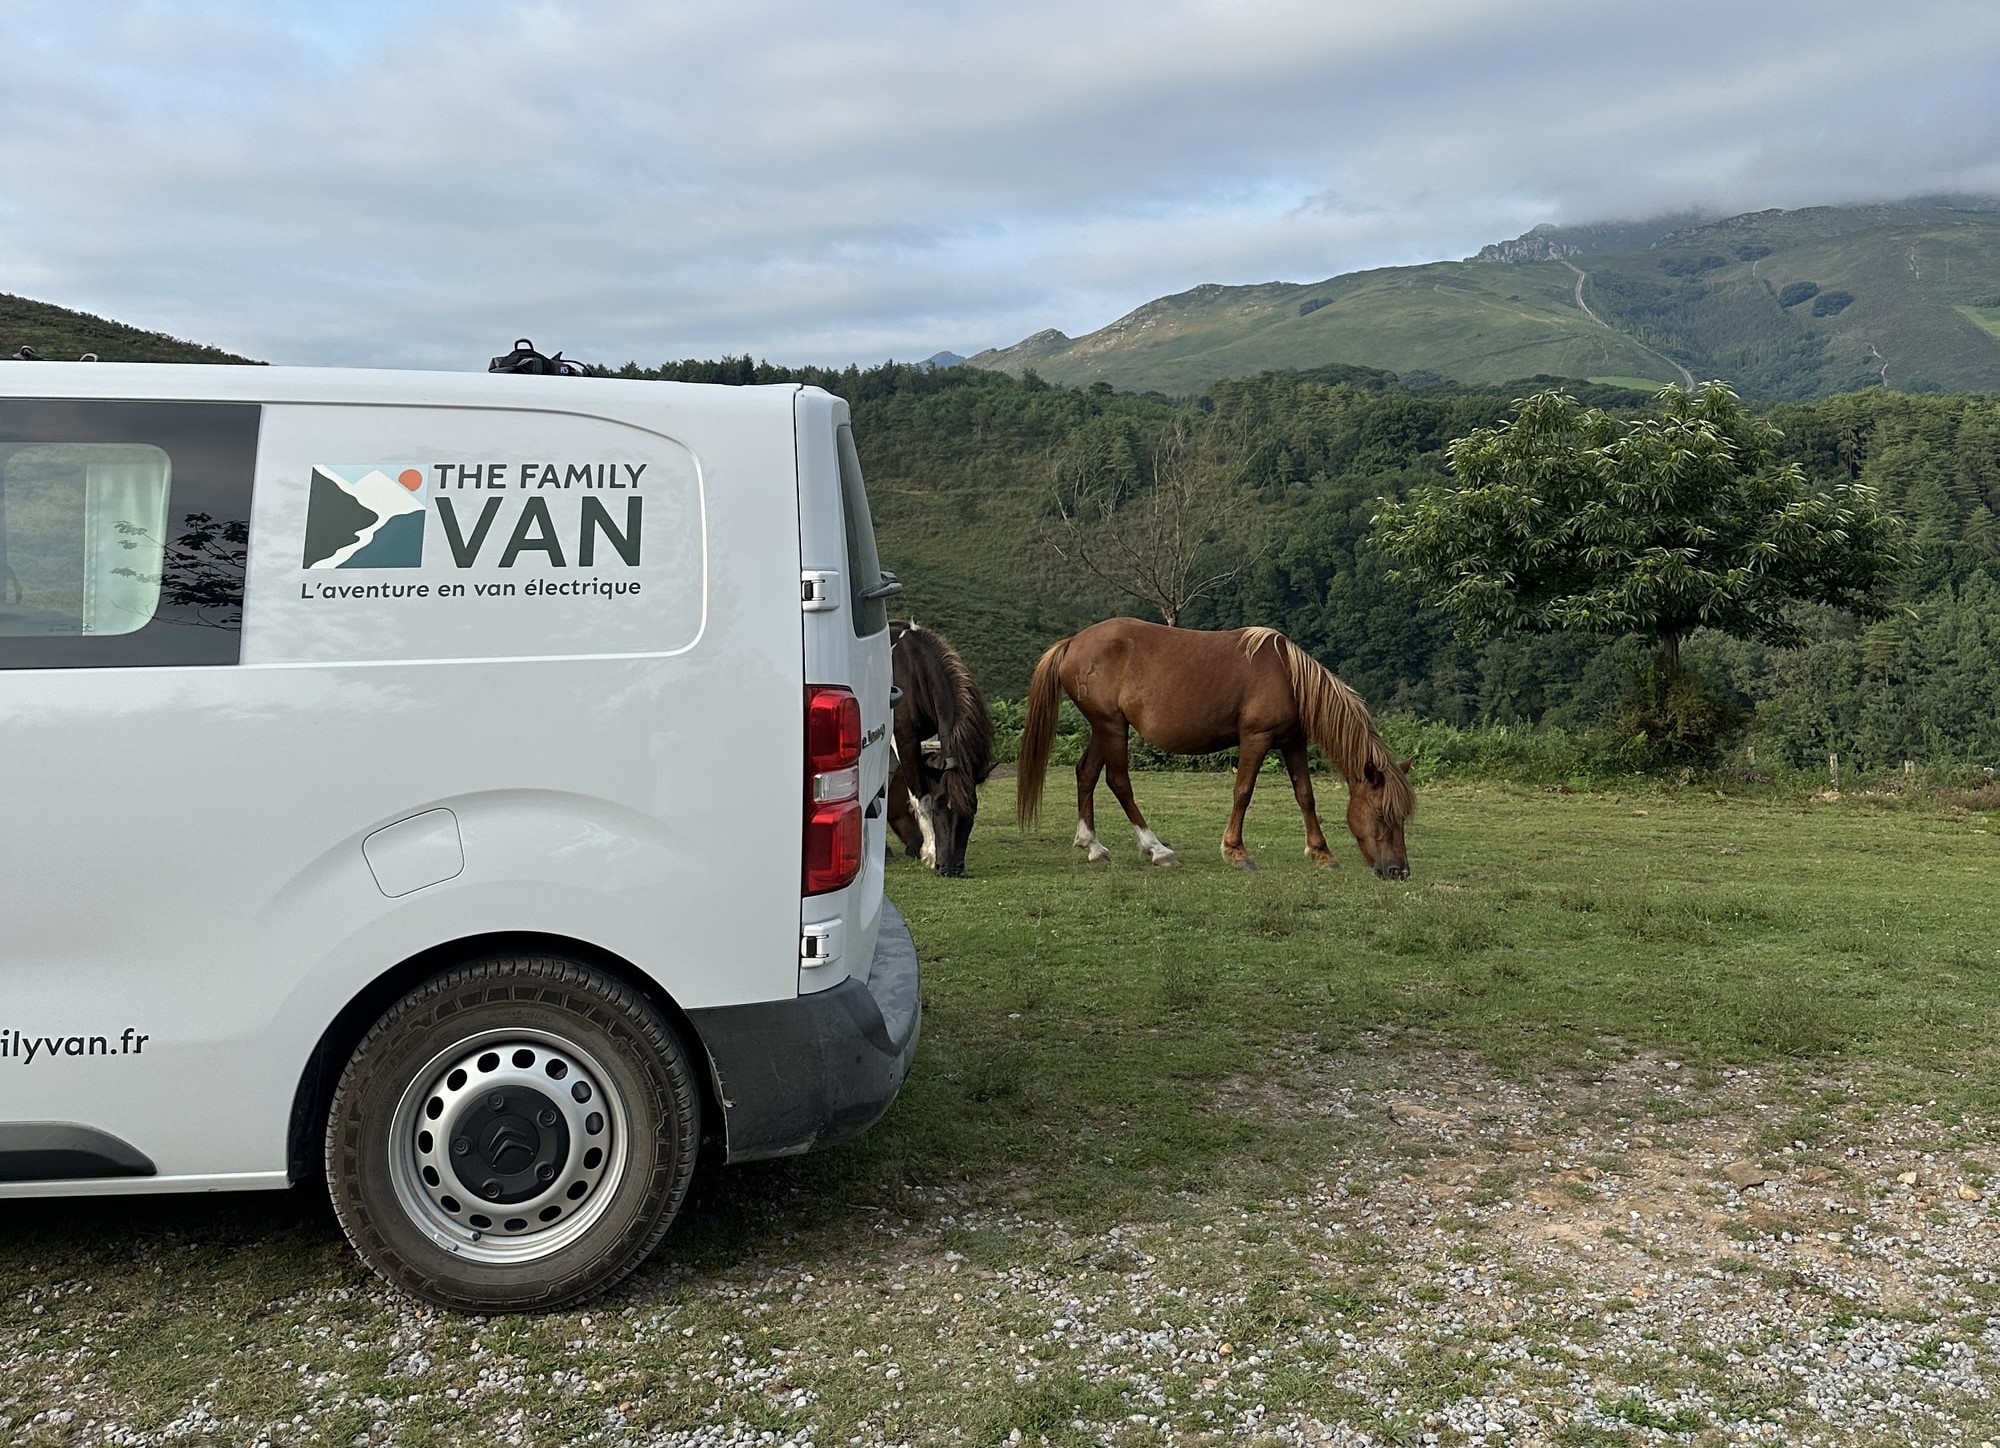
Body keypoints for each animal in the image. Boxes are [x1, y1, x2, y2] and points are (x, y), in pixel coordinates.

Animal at [888, 620, 996, 876]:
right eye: (939, 807)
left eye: (973, 808)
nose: (949, 868)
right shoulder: (904, 740)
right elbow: (920, 796)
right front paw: (930, 852)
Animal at [1024, 616, 1416, 876]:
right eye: (1382, 815)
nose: (1399, 871)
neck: (1289, 677)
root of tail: (1072, 643)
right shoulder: (1256, 738)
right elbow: (1243, 791)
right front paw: (1236, 852)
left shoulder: (1292, 742)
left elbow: (1306, 796)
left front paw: (1322, 854)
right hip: (1112, 727)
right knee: (1118, 782)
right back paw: (1157, 849)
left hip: (1105, 727)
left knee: (1086, 773)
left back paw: (1092, 845)